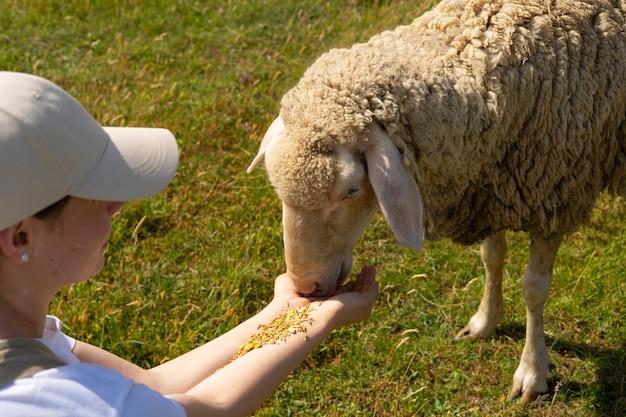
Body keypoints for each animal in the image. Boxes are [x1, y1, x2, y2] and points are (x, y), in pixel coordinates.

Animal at [246, 0, 620, 404]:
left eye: (350, 190)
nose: (305, 289)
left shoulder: (556, 195)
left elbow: (534, 289)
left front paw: (532, 371)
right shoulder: (490, 182)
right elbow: (492, 257)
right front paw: (485, 320)